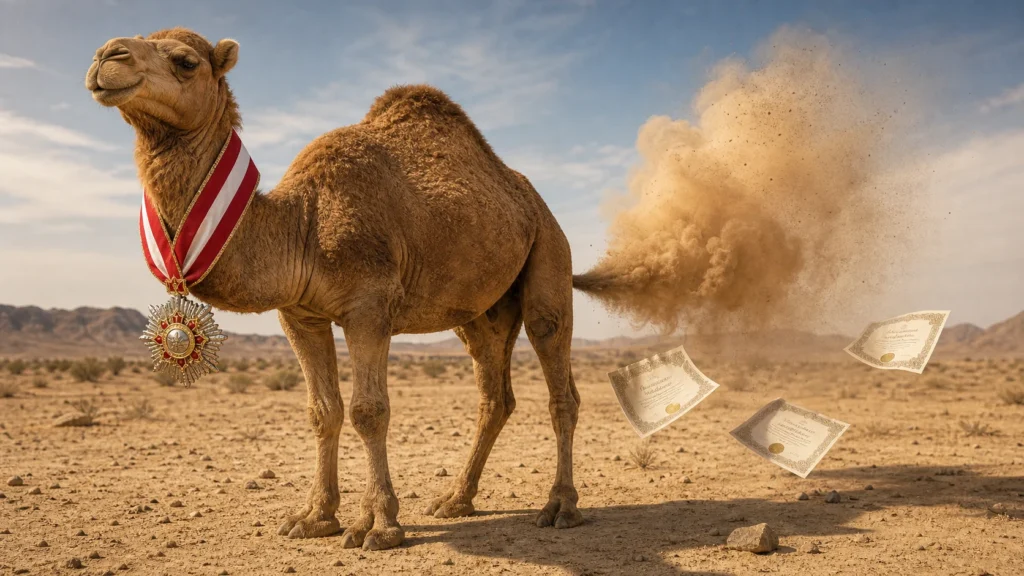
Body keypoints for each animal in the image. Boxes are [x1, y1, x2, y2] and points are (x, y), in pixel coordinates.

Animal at [85, 28, 616, 551]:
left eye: (185, 61)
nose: (105, 56)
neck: (302, 223)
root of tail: (532, 199)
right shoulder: (300, 315)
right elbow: (323, 411)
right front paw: (314, 517)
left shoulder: (368, 307)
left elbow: (368, 410)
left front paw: (378, 524)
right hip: (480, 313)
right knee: (494, 395)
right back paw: (455, 500)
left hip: (549, 254)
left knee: (559, 379)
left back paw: (560, 507)